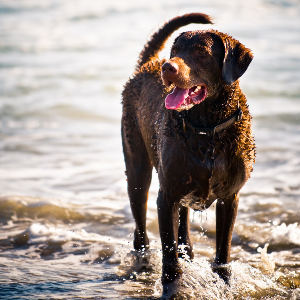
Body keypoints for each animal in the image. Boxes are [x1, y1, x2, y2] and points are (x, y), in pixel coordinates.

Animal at [121, 12, 255, 286]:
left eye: (201, 52)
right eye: (175, 51)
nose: (168, 67)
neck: (208, 132)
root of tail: (148, 63)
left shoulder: (230, 198)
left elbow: (223, 250)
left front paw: (225, 281)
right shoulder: (166, 196)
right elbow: (168, 250)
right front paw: (172, 285)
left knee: (182, 225)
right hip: (138, 171)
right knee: (141, 231)